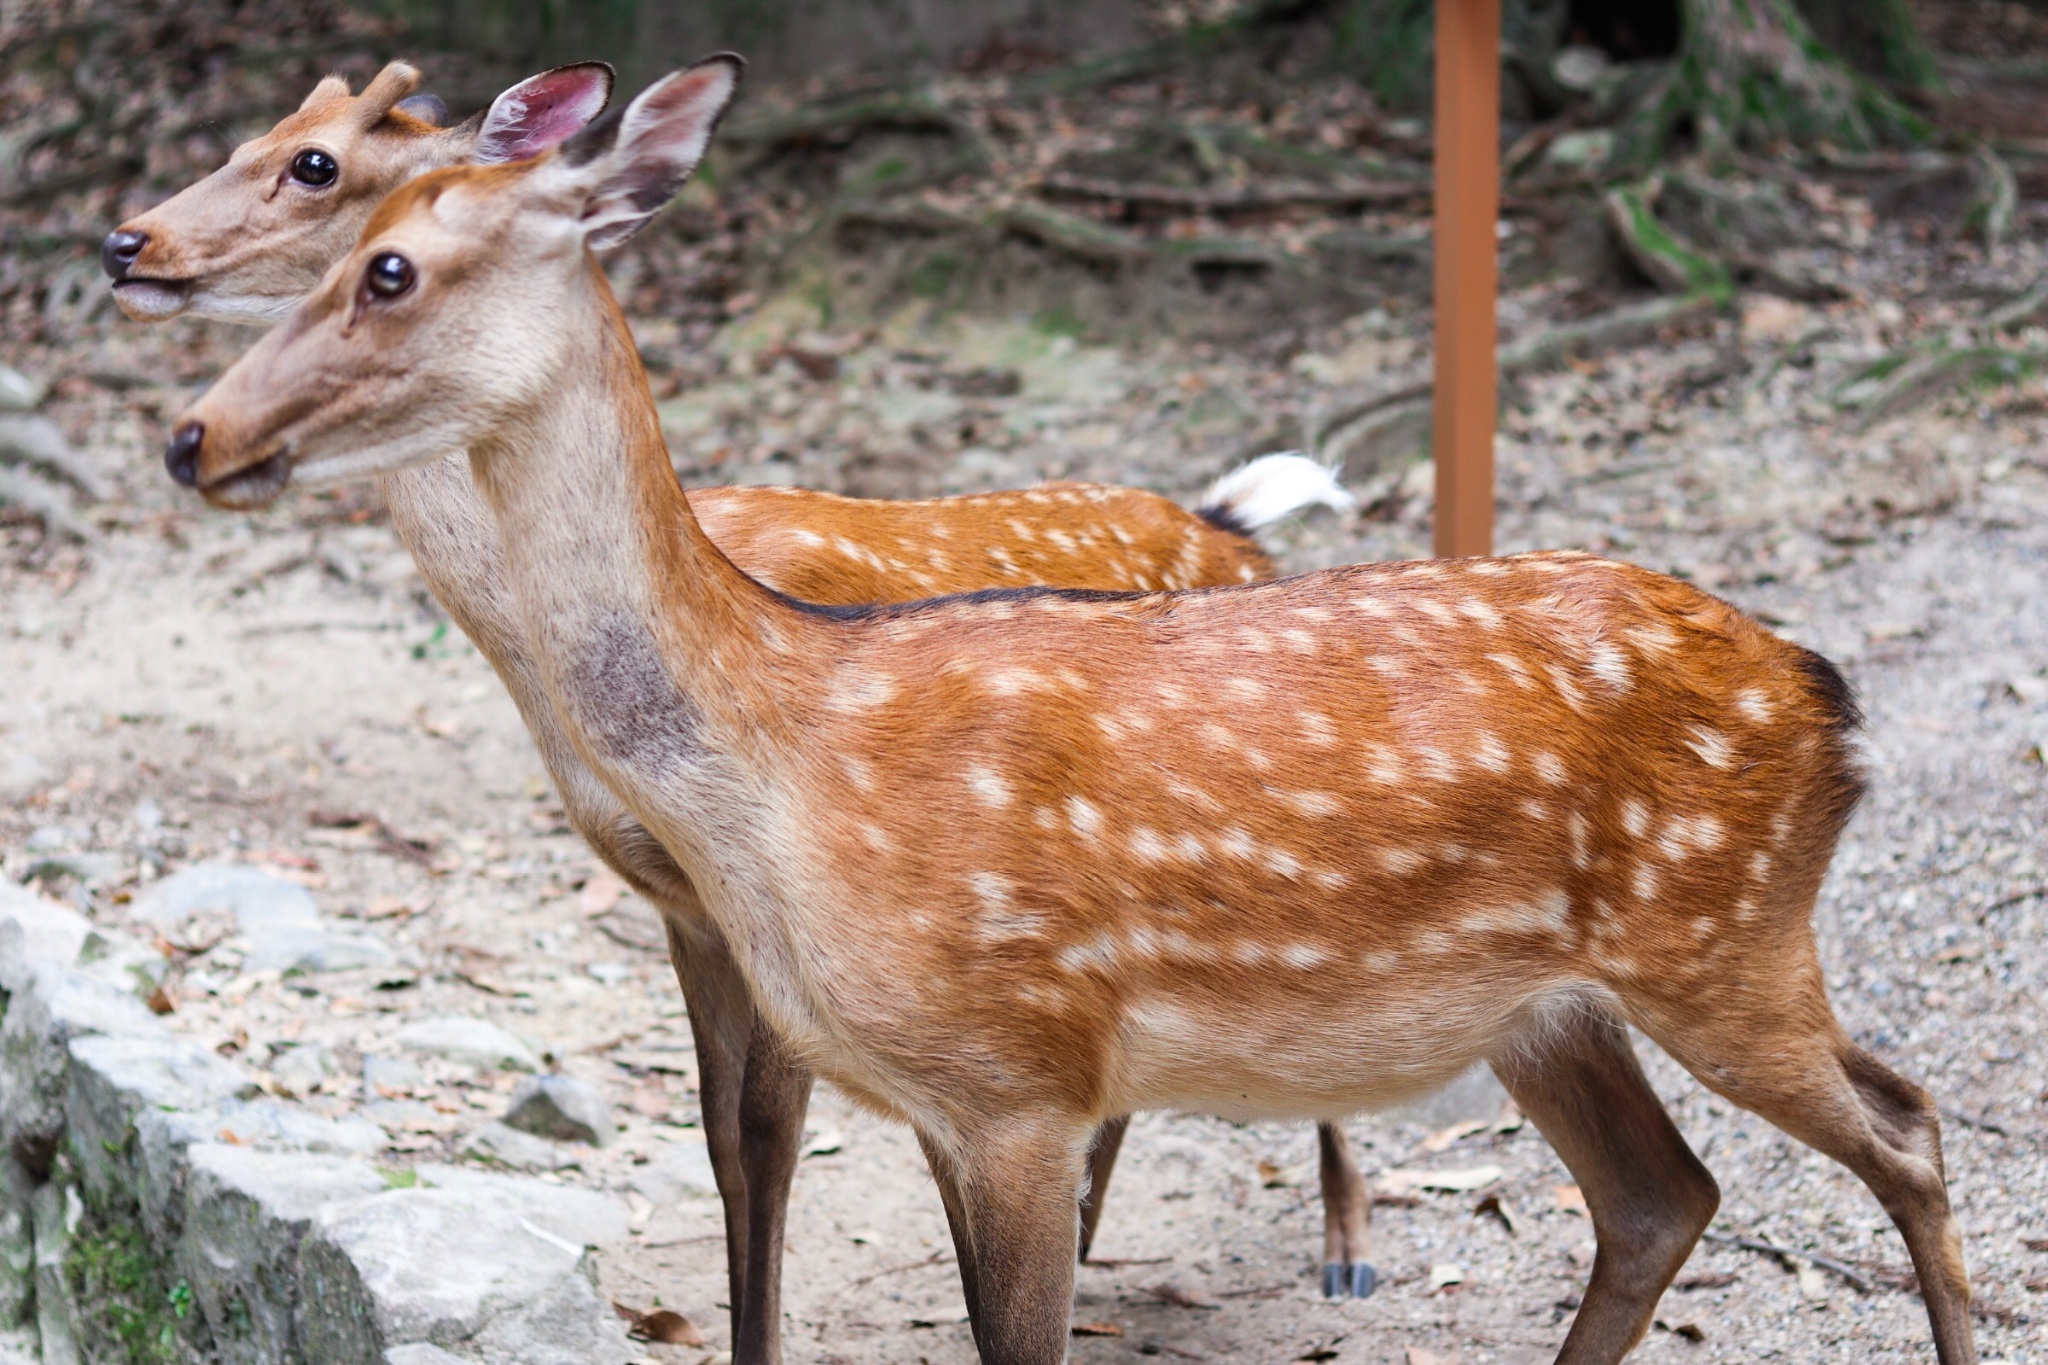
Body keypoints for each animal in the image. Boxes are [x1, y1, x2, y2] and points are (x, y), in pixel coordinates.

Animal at [163, 53, 1982, 1365]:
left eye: (381, 260)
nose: (190, 433)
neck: (777, 763)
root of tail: (1824, 696)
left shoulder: (1016, 1076)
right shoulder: (925, 1081)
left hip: (1721, 935)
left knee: (1901, 1123)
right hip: (1548, 1004)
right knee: (1664, 1196)